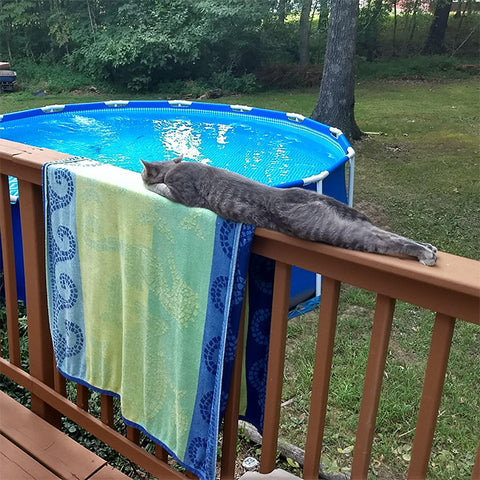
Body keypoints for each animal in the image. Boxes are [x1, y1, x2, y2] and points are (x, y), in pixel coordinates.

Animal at [141, 158, 436, 266]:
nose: (143, 176)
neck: (174, 166)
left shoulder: (183, 193)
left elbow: (162, 188)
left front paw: (149, 183)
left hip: (330, 229)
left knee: (384, 240)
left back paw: (423, 253)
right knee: (383, 233)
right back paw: (428, 248)